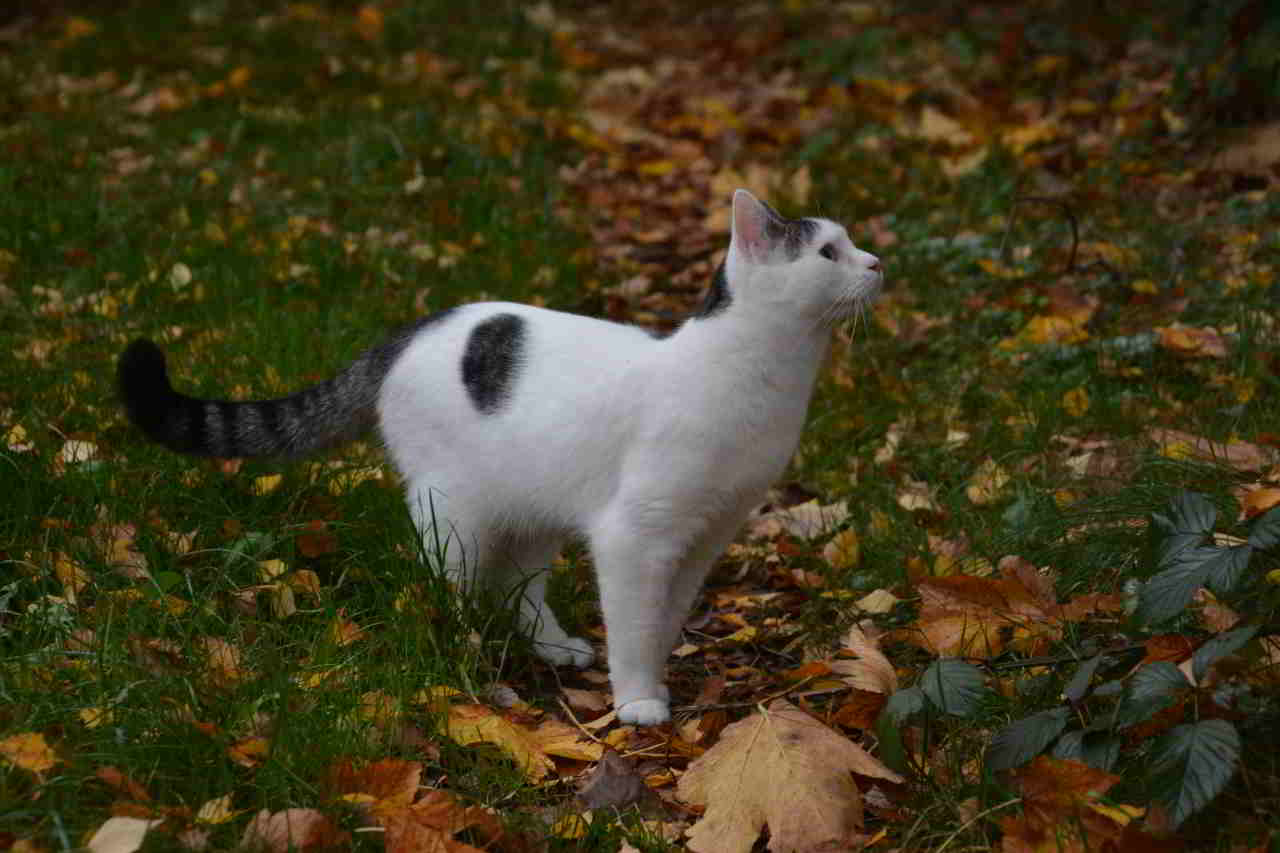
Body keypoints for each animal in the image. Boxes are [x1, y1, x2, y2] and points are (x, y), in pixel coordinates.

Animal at [120, 189, 880, 722]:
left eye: (852, 245)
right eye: (827, 253)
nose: (878, 264)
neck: (758, 378)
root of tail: (410, 330)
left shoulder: (705, 534)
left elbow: (662, 619)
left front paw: (657, 677)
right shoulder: (635, 534)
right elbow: (634, 623)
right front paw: (637, 699)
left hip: (535, 505)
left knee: (519, 587)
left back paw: (554, 646)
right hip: (452, 514)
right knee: (454, 589)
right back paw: (466, 660)